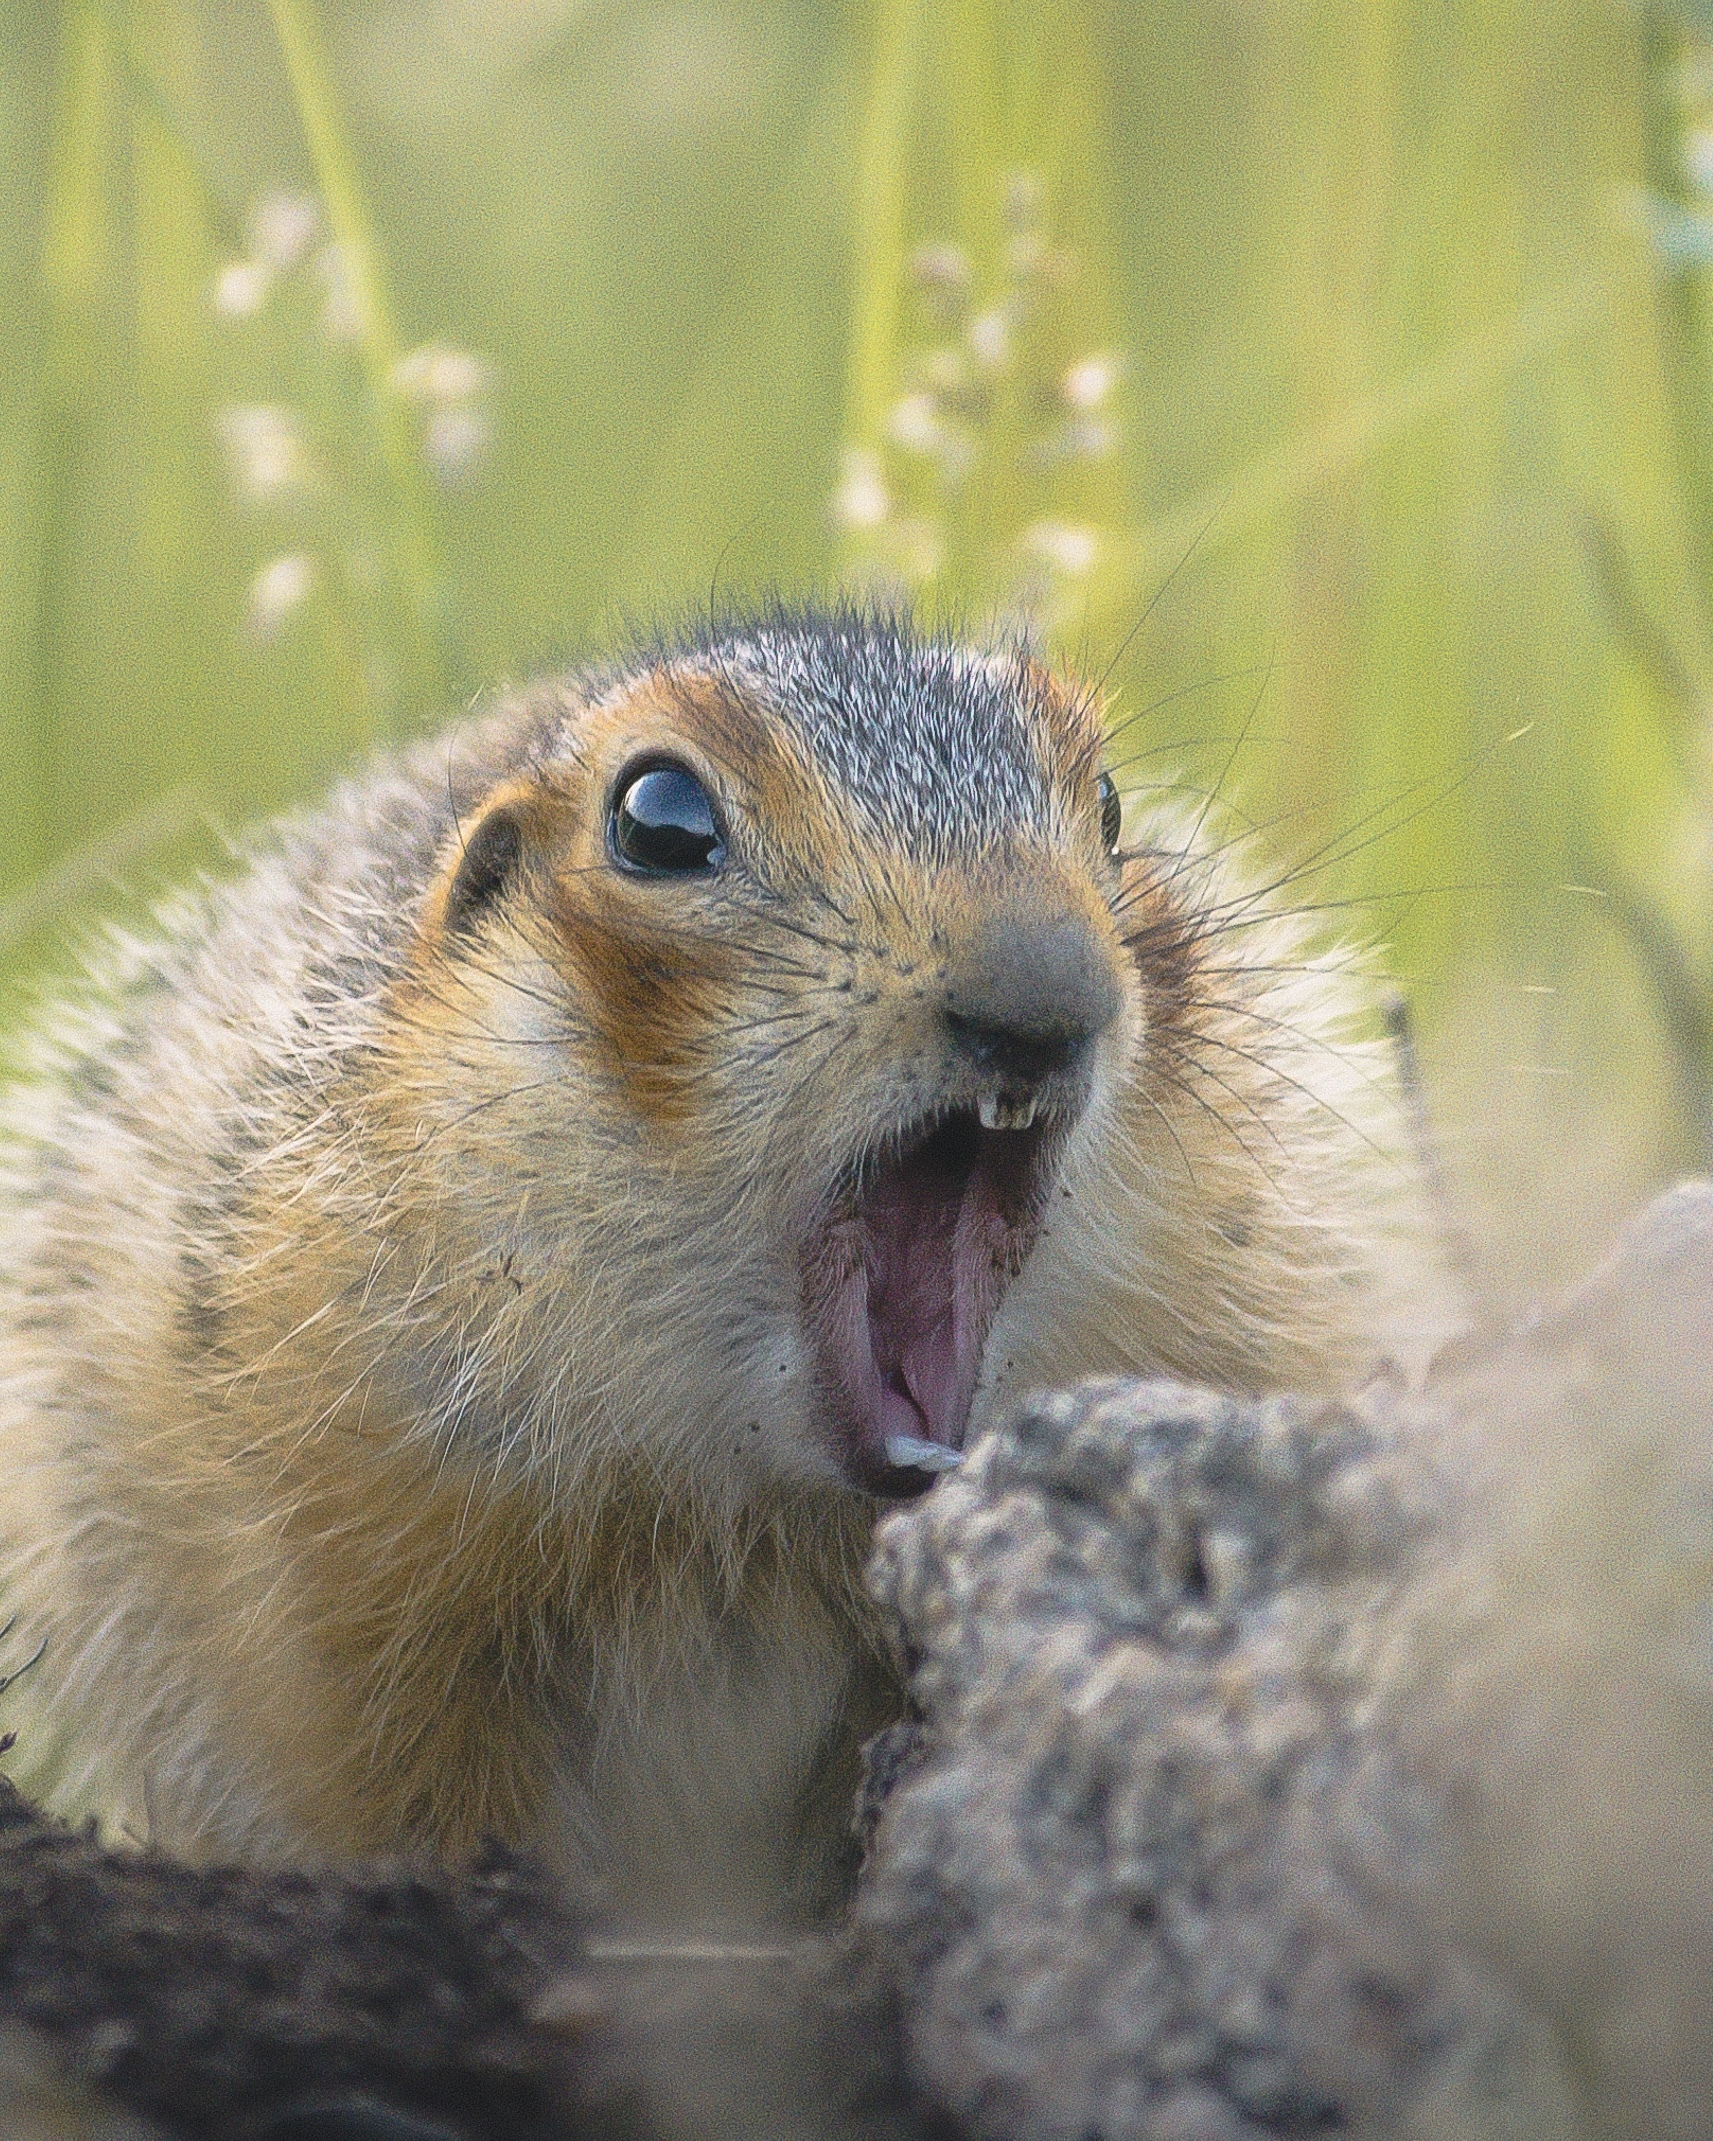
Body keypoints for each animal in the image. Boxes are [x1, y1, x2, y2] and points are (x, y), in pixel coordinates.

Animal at [0, 603, 1421, 1926]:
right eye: (662, 818)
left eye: (1114, 806)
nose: (1042, 993)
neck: (747, 1500)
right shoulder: (338, 1538)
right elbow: (403, 1762)